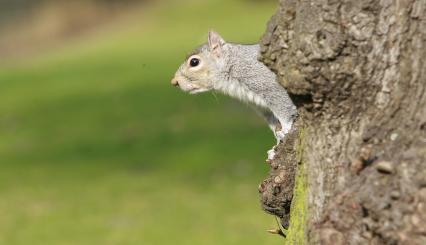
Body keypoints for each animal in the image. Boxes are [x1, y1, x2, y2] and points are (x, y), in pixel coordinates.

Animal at [170, 30, 296, 161]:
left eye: (194, 62)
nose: (174, 82)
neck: (234, 64)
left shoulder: (271, 86)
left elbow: (284, 108)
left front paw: (286, 129)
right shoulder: (262, 108)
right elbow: (274, 123)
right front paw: (275, 146)